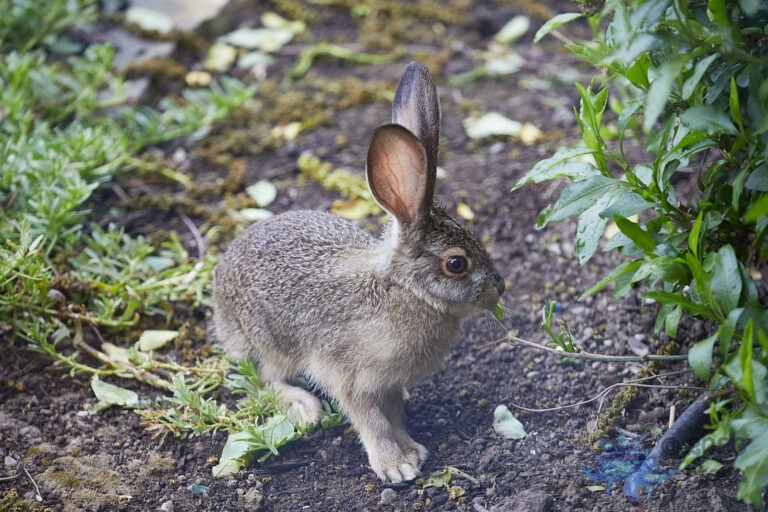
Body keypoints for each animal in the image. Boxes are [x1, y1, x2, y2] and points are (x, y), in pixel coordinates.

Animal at [213, 61, 505, 483]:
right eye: (456, 264)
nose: (500, 288)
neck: (404, 291)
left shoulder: (389, 384)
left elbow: (395, 415)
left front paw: (412, 451)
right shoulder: (349, 378)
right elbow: (372, 421)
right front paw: (396, 466)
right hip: (268, 340)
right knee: (266, 378)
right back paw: (303, 407)